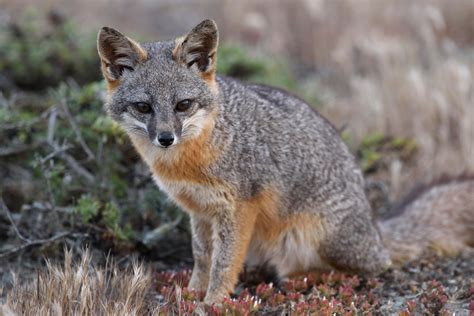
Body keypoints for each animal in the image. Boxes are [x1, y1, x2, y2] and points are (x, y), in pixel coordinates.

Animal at [96, 19, 474, 304]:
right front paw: (191, 295)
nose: (165, 138)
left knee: (375, 266)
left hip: (322, 238)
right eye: (144, 107)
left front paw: (213, 303)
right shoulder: (199, 210)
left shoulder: (239, 208)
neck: (189, 159)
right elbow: (202, 258)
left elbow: (224, 263)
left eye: (183, 105)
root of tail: (376, 228)